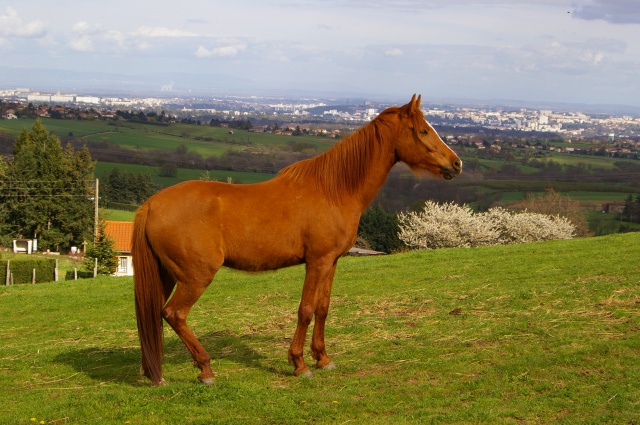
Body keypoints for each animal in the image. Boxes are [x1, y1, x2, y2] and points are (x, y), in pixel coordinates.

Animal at [132, 95, 462, 384]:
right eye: (423, 130)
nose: (456, 163)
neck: (333, 190)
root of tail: (152, 204)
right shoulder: (316, 262)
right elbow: (305, 310)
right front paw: (299, 364)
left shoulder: (332, 262)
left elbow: (323, 309)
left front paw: (323, 358)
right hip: (196, 276)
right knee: (174, 314)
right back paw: (205, 369)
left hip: (167, 276)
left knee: (156, 316)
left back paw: (154, 371)